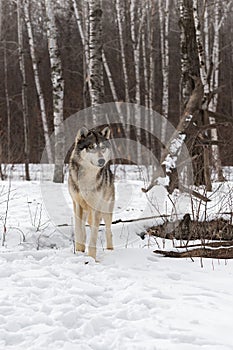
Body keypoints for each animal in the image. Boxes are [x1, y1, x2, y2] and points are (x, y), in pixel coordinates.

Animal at [68, 126, 114, 260]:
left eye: (102, 148)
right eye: (91, 147)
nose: (101, 161)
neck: (87, 177)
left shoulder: (96, 208)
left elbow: (94, 235)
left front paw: (92, 257)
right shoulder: (77, 204)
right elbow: (78, 230)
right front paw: (79, 251)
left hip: (106, 211)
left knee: (108, 230)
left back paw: (110, 249)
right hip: (84, 211)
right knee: (83, 228)